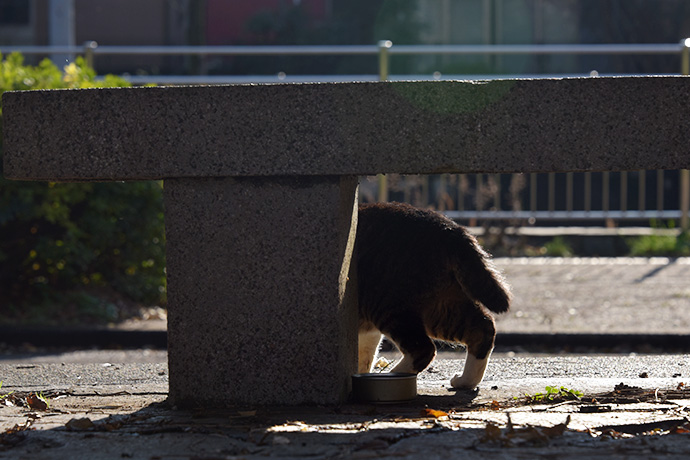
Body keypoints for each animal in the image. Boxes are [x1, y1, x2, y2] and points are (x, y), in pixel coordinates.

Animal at [358, 201, 508, 388]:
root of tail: (449, 227)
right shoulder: (366, 334)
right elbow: (364, 357)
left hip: (389, 304)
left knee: (423, 349)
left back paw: (392, 376)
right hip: (443, 306)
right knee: (483, 328)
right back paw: (464, 381)